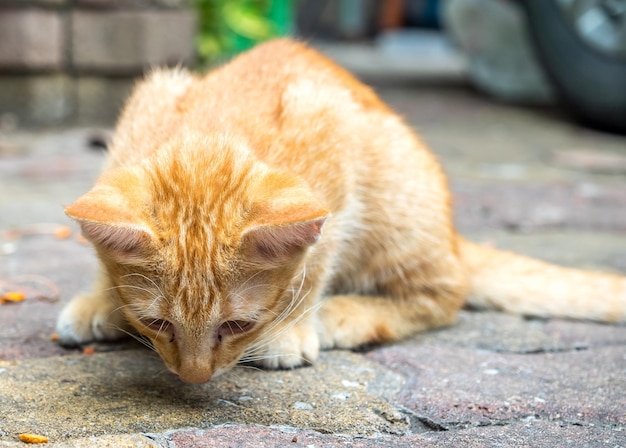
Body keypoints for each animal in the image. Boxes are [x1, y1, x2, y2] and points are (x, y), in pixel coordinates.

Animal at [54, 38, 624, 384]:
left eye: (237, 326)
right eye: (157, 323)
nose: (195, 376)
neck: (212, 136)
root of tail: (452, 236)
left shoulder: (334, 134)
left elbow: (318, 258)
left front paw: (289, 328)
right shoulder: (147, 104)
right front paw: (103, 300)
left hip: (395, 197)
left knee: (445, 293)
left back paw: (344, 315)